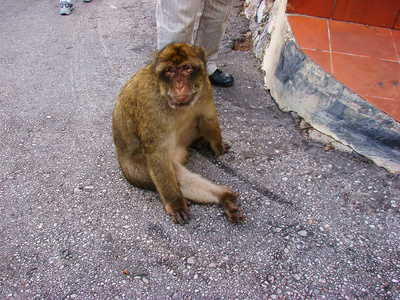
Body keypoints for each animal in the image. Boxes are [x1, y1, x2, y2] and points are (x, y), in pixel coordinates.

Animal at [111, 42, 244, 225]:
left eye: (186, 68)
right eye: (170, 70)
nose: (179, 86)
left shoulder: (205, 86)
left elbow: (208, 117)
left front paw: (218, 147)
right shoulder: (150, 105)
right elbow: (157, 153)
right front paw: (175, 203)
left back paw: (223, 195)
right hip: (135, 170)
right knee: (175, 176)